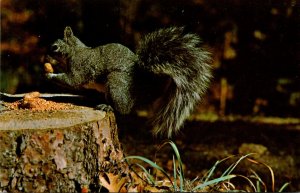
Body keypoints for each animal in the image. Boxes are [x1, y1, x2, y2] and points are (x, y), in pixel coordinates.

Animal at [45, 26, 212, 137]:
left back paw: (107, 106)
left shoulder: (79, 67)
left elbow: (72, 80)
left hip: (116, 82)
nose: (45, 56)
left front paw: (49, 75)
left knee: (123, 109)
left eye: (55, 47)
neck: (75, 51)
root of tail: (143, 88)